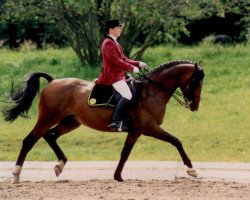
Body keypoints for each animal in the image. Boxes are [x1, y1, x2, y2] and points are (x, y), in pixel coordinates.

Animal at [2, 59, 205, 183]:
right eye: (195, 81)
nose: (194, 106)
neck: (152, 91)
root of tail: (53, 81)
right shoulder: (147, 128)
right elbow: (176, 141)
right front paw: (192, 170)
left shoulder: (136, 131)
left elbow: (125, 153)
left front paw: (117, 176)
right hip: (47, 118)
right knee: (30, 140)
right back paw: (16, 174)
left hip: (71, 122)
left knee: (50, 136)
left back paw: (60, 164)